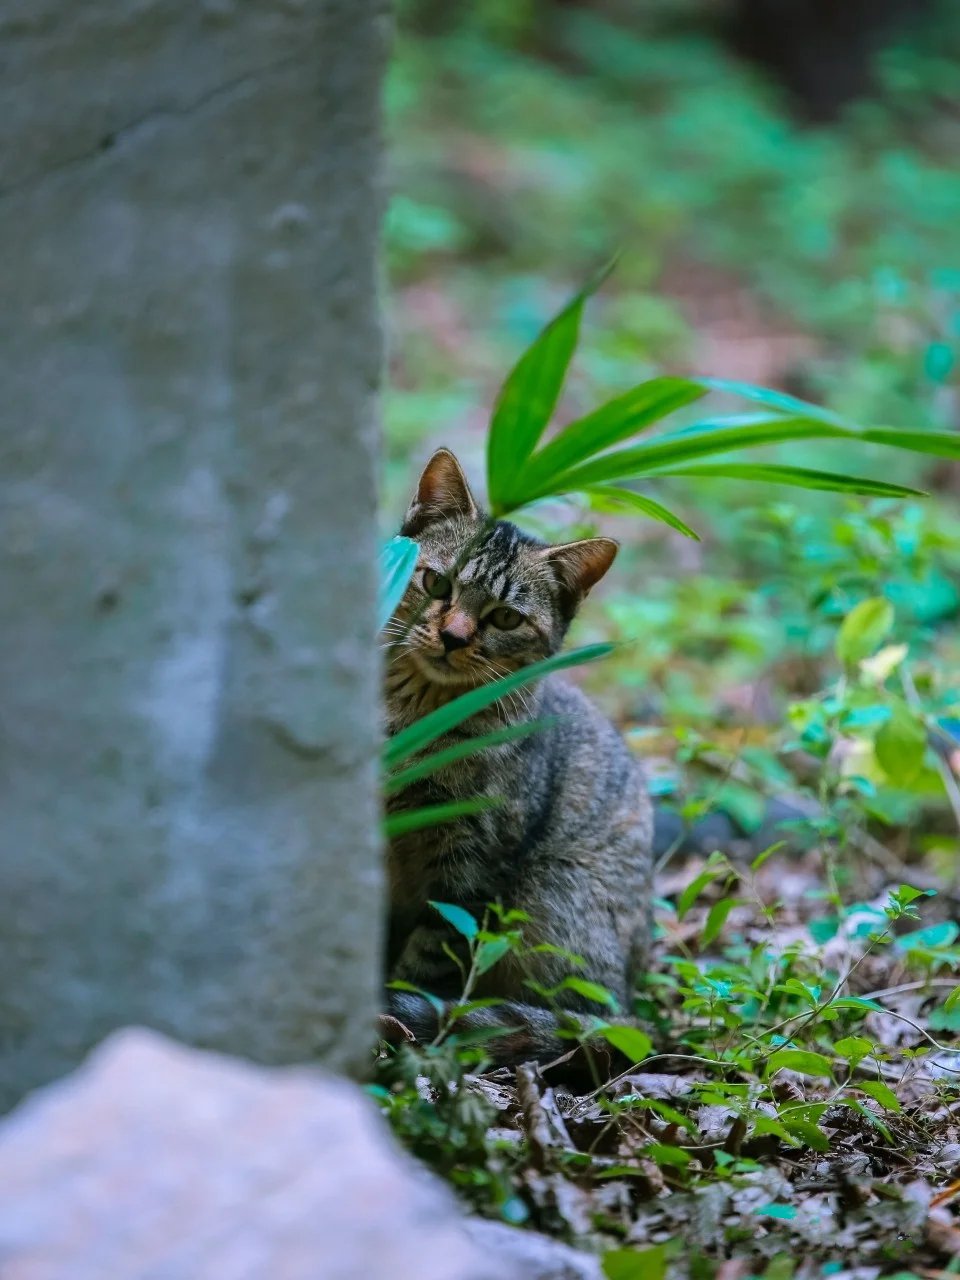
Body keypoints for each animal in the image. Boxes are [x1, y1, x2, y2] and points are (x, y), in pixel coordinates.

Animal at [384, 450, 655, 1059]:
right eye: (435, 582)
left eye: (505, 617)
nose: (454, 637)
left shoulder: (470, 872)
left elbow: (425, 963)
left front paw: (396, 1022)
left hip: (549, 898)